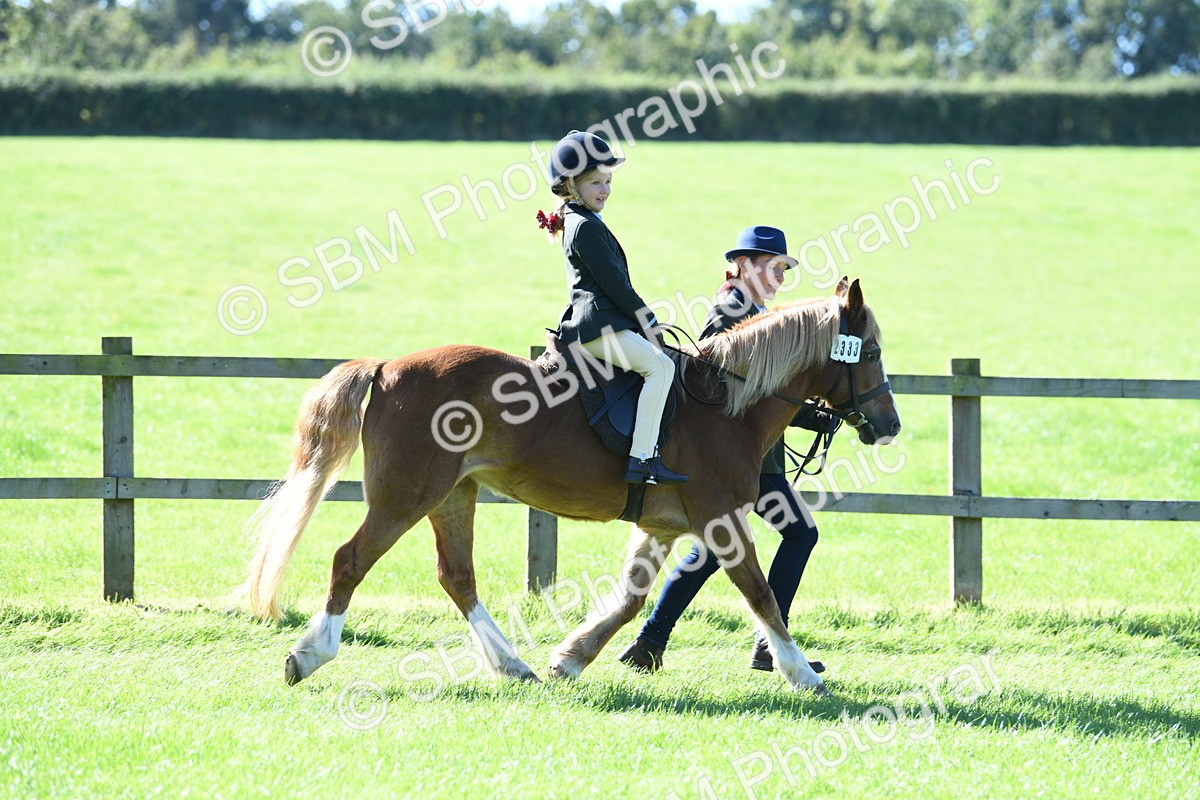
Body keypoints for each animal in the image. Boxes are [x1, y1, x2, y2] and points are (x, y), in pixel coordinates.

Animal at [244, 277, 900, 694]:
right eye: (870, 350)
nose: (889, 425)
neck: (725, 406)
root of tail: (385, 368)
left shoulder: (662, 525)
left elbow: (632, 598)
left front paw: (570, 659)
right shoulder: (721, 521)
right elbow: (761, 594)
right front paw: (802, 673)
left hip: (454, 495)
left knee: (457, 577)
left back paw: (514, 667)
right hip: (405, 497)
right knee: (350, 560)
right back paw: (309, 655)